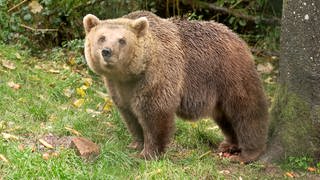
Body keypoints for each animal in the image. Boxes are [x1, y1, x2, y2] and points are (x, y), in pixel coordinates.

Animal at [84, 10, 268, 163]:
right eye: (101, 37)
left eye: (122, 40)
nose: (107, 51)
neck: (133, 72)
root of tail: (238, 38)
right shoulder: (119, 87)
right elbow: (129, 115)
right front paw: (135, 144)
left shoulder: (157, 75)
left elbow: (155, 113)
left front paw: (148, 153)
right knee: (224, 116)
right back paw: (229, 143)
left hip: (229, 73)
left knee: (246, 111)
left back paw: (248, 153)